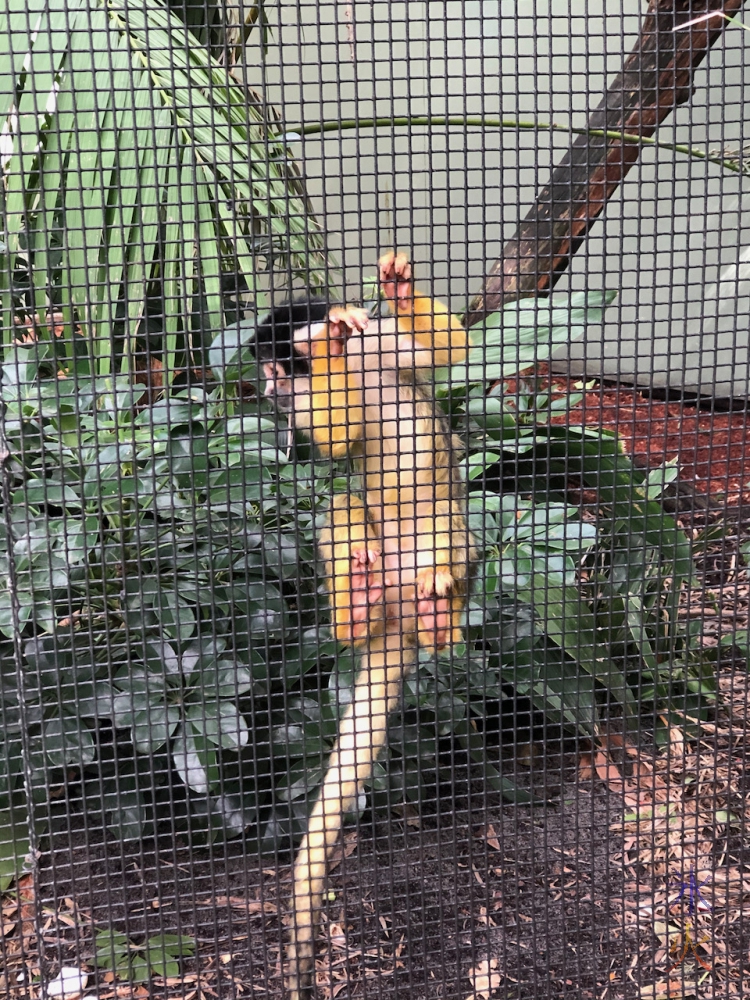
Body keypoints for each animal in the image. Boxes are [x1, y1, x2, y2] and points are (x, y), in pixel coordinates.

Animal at [251, 254, 476, 996]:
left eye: (276, 368)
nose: (272, 391)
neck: (358, 364)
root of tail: (396, 621)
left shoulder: (381, 346)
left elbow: (446, 352)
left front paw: (391, 297)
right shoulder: (315, 408)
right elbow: (335, 439)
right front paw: (324, 358)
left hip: (448, 543)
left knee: (447, 527)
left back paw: (438, 616)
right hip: (370, 562)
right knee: (343, 506)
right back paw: (359, 607)